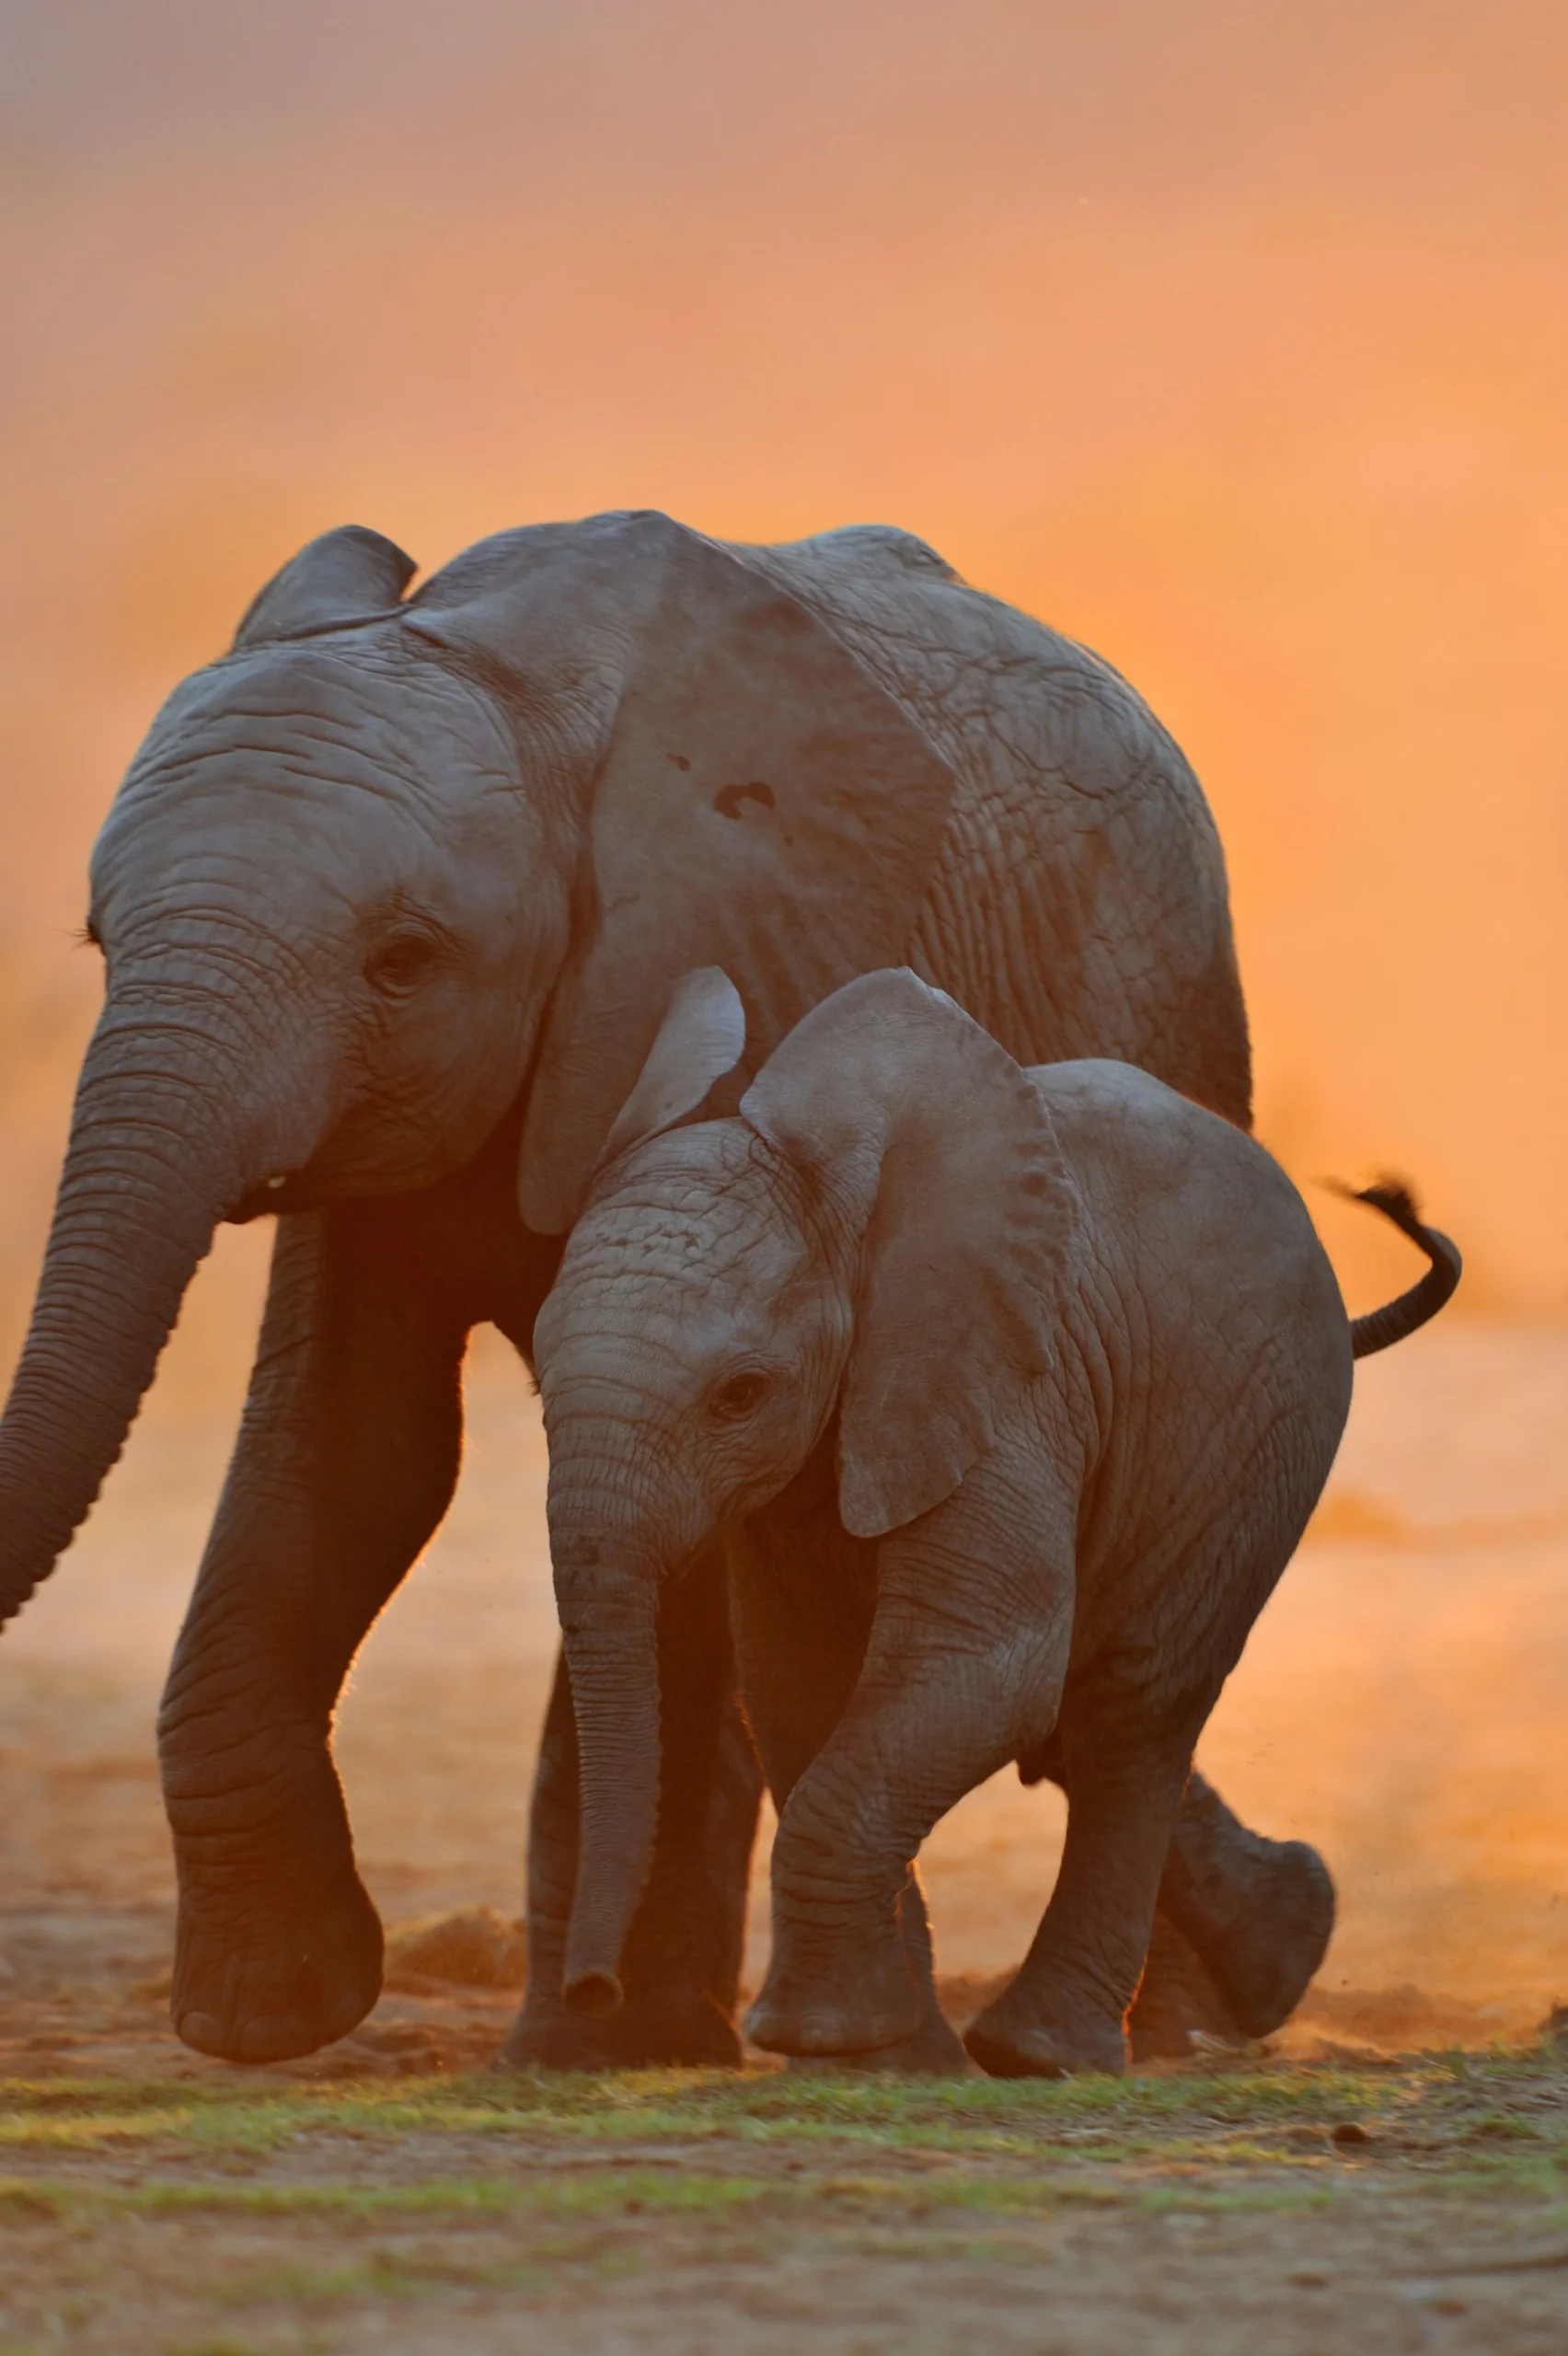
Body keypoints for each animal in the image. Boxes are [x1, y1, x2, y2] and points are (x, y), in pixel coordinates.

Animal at [0, 506, 1323, 2068]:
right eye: (99, 941)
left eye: (403, 960)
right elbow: (354, 1447)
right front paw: (271, 2011)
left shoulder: (760, 953)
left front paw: (568, 2037)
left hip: (1181, 1033)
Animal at [532, 967, 1461, 2074]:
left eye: (739, 1395)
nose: (590, 1991)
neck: (850, 1214)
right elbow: (802, 1687)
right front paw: (887, 2057)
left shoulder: (1011, 1387)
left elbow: (984, 1664)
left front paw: (818, 2035)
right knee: (1079, 1723)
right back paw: (1273, 1952)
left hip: (1259, 1436)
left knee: (1131, 1708)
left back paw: (1046, 2052)